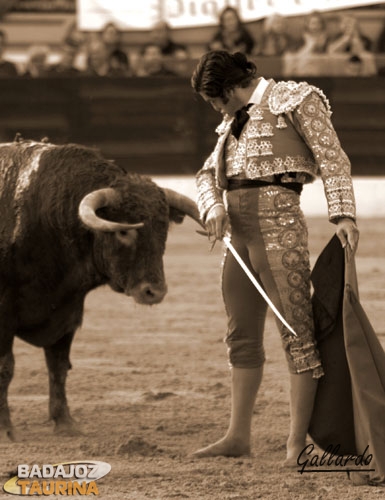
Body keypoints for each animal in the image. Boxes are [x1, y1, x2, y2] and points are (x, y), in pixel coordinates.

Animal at [0, 139, 202, 440]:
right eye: (124, 231)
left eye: (163, 228)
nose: (154, 292)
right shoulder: (4, 314)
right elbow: (6, 368)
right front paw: (5, 430)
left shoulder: (67, 311)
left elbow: (58, 367)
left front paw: (65, 423)